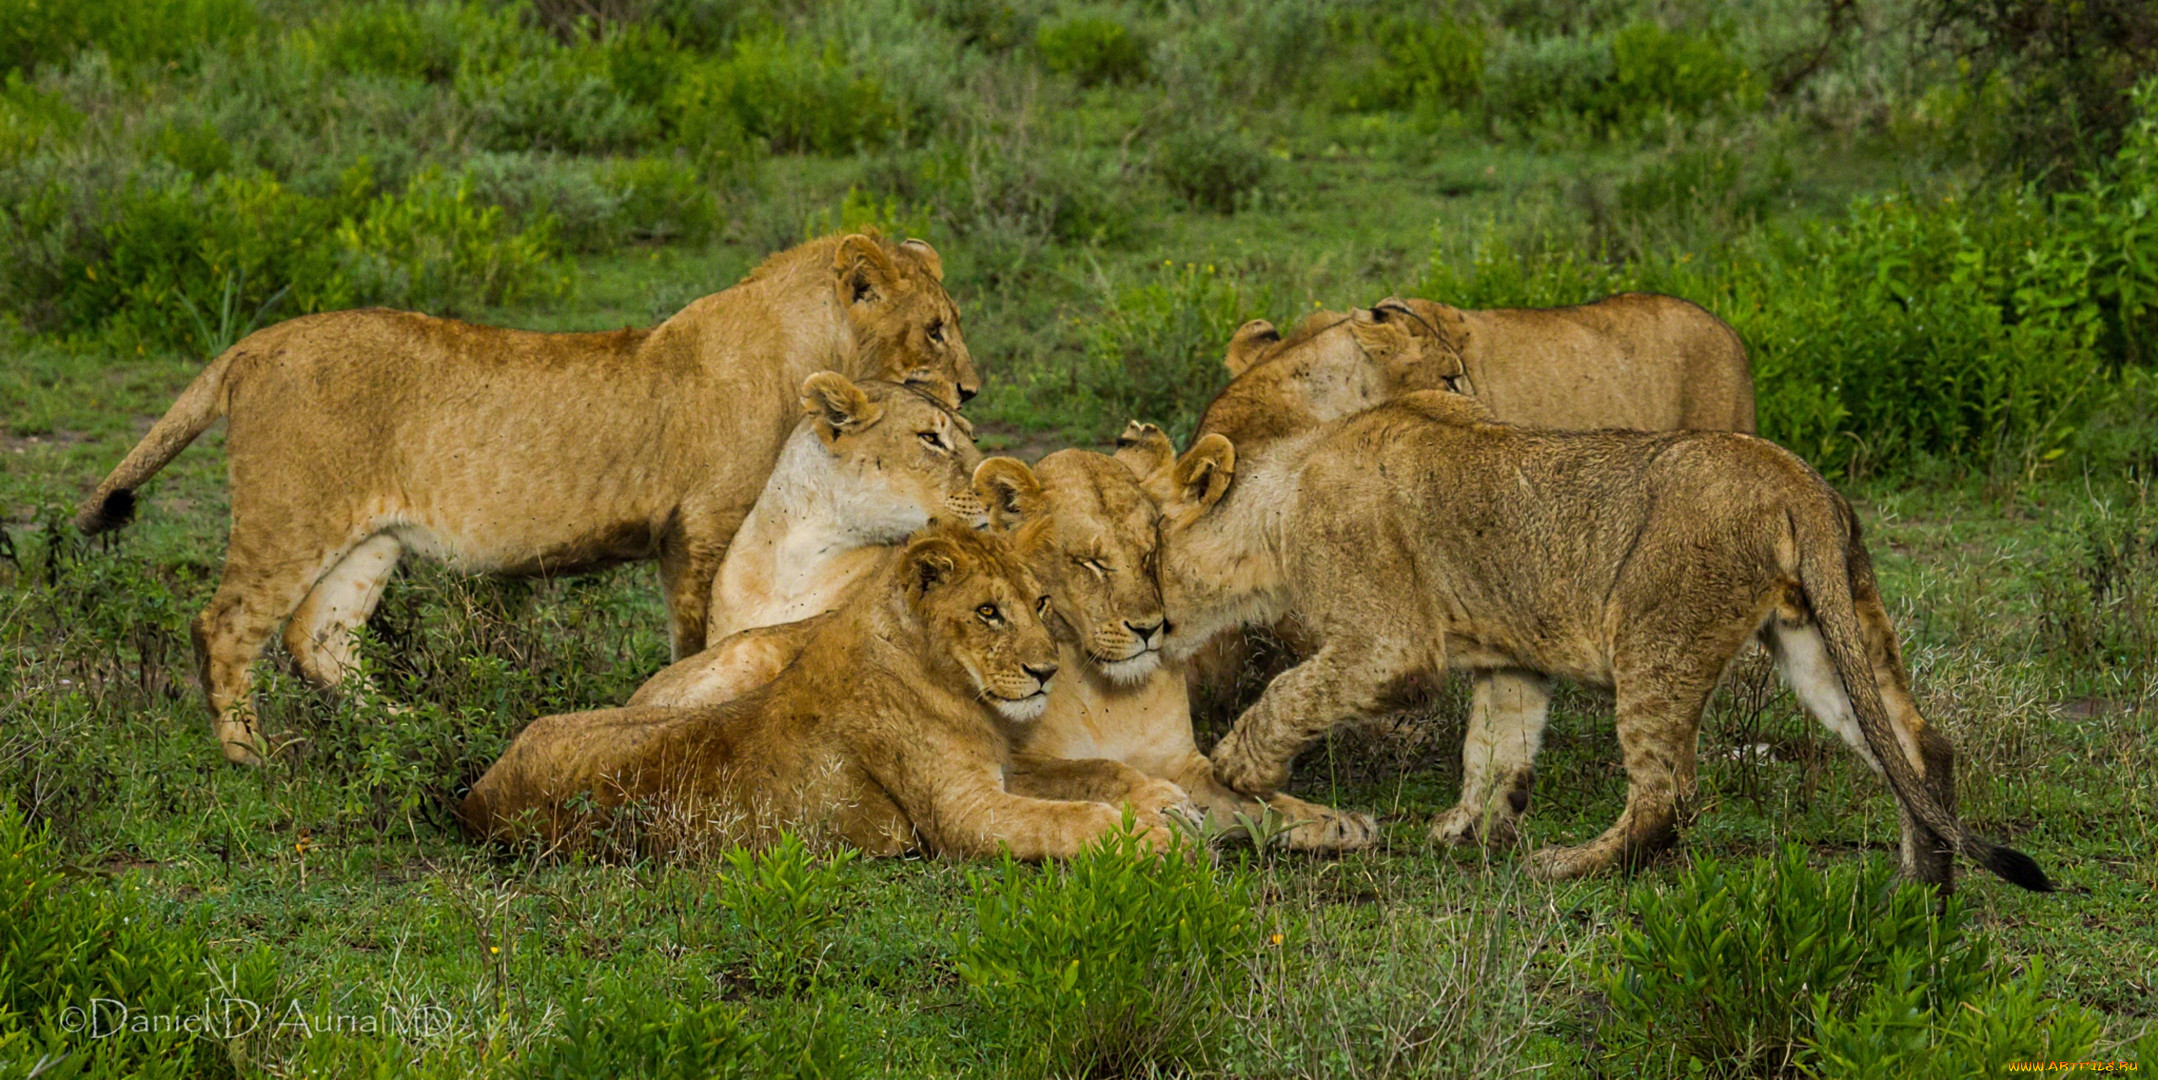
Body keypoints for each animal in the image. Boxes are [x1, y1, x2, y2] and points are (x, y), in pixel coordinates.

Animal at [71, 232, 975, 764]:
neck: (809, 348)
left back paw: (410, 729)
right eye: (936, 328)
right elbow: (697, 643)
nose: (971, 388)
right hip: (290, 515)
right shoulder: (703, 527)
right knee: (224, 627)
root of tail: (254, 343)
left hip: (370, 539)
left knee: (318, 639)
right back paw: (249, 756)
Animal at [461, 522, 1191, 859]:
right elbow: (1065, 817)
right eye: (987, 612)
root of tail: (478, 794)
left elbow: (1091, 771)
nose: (1046, 672)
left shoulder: (1003, 768)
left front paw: (1165, 801)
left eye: (1040, 603)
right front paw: (1146, 835)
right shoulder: (960, 813)